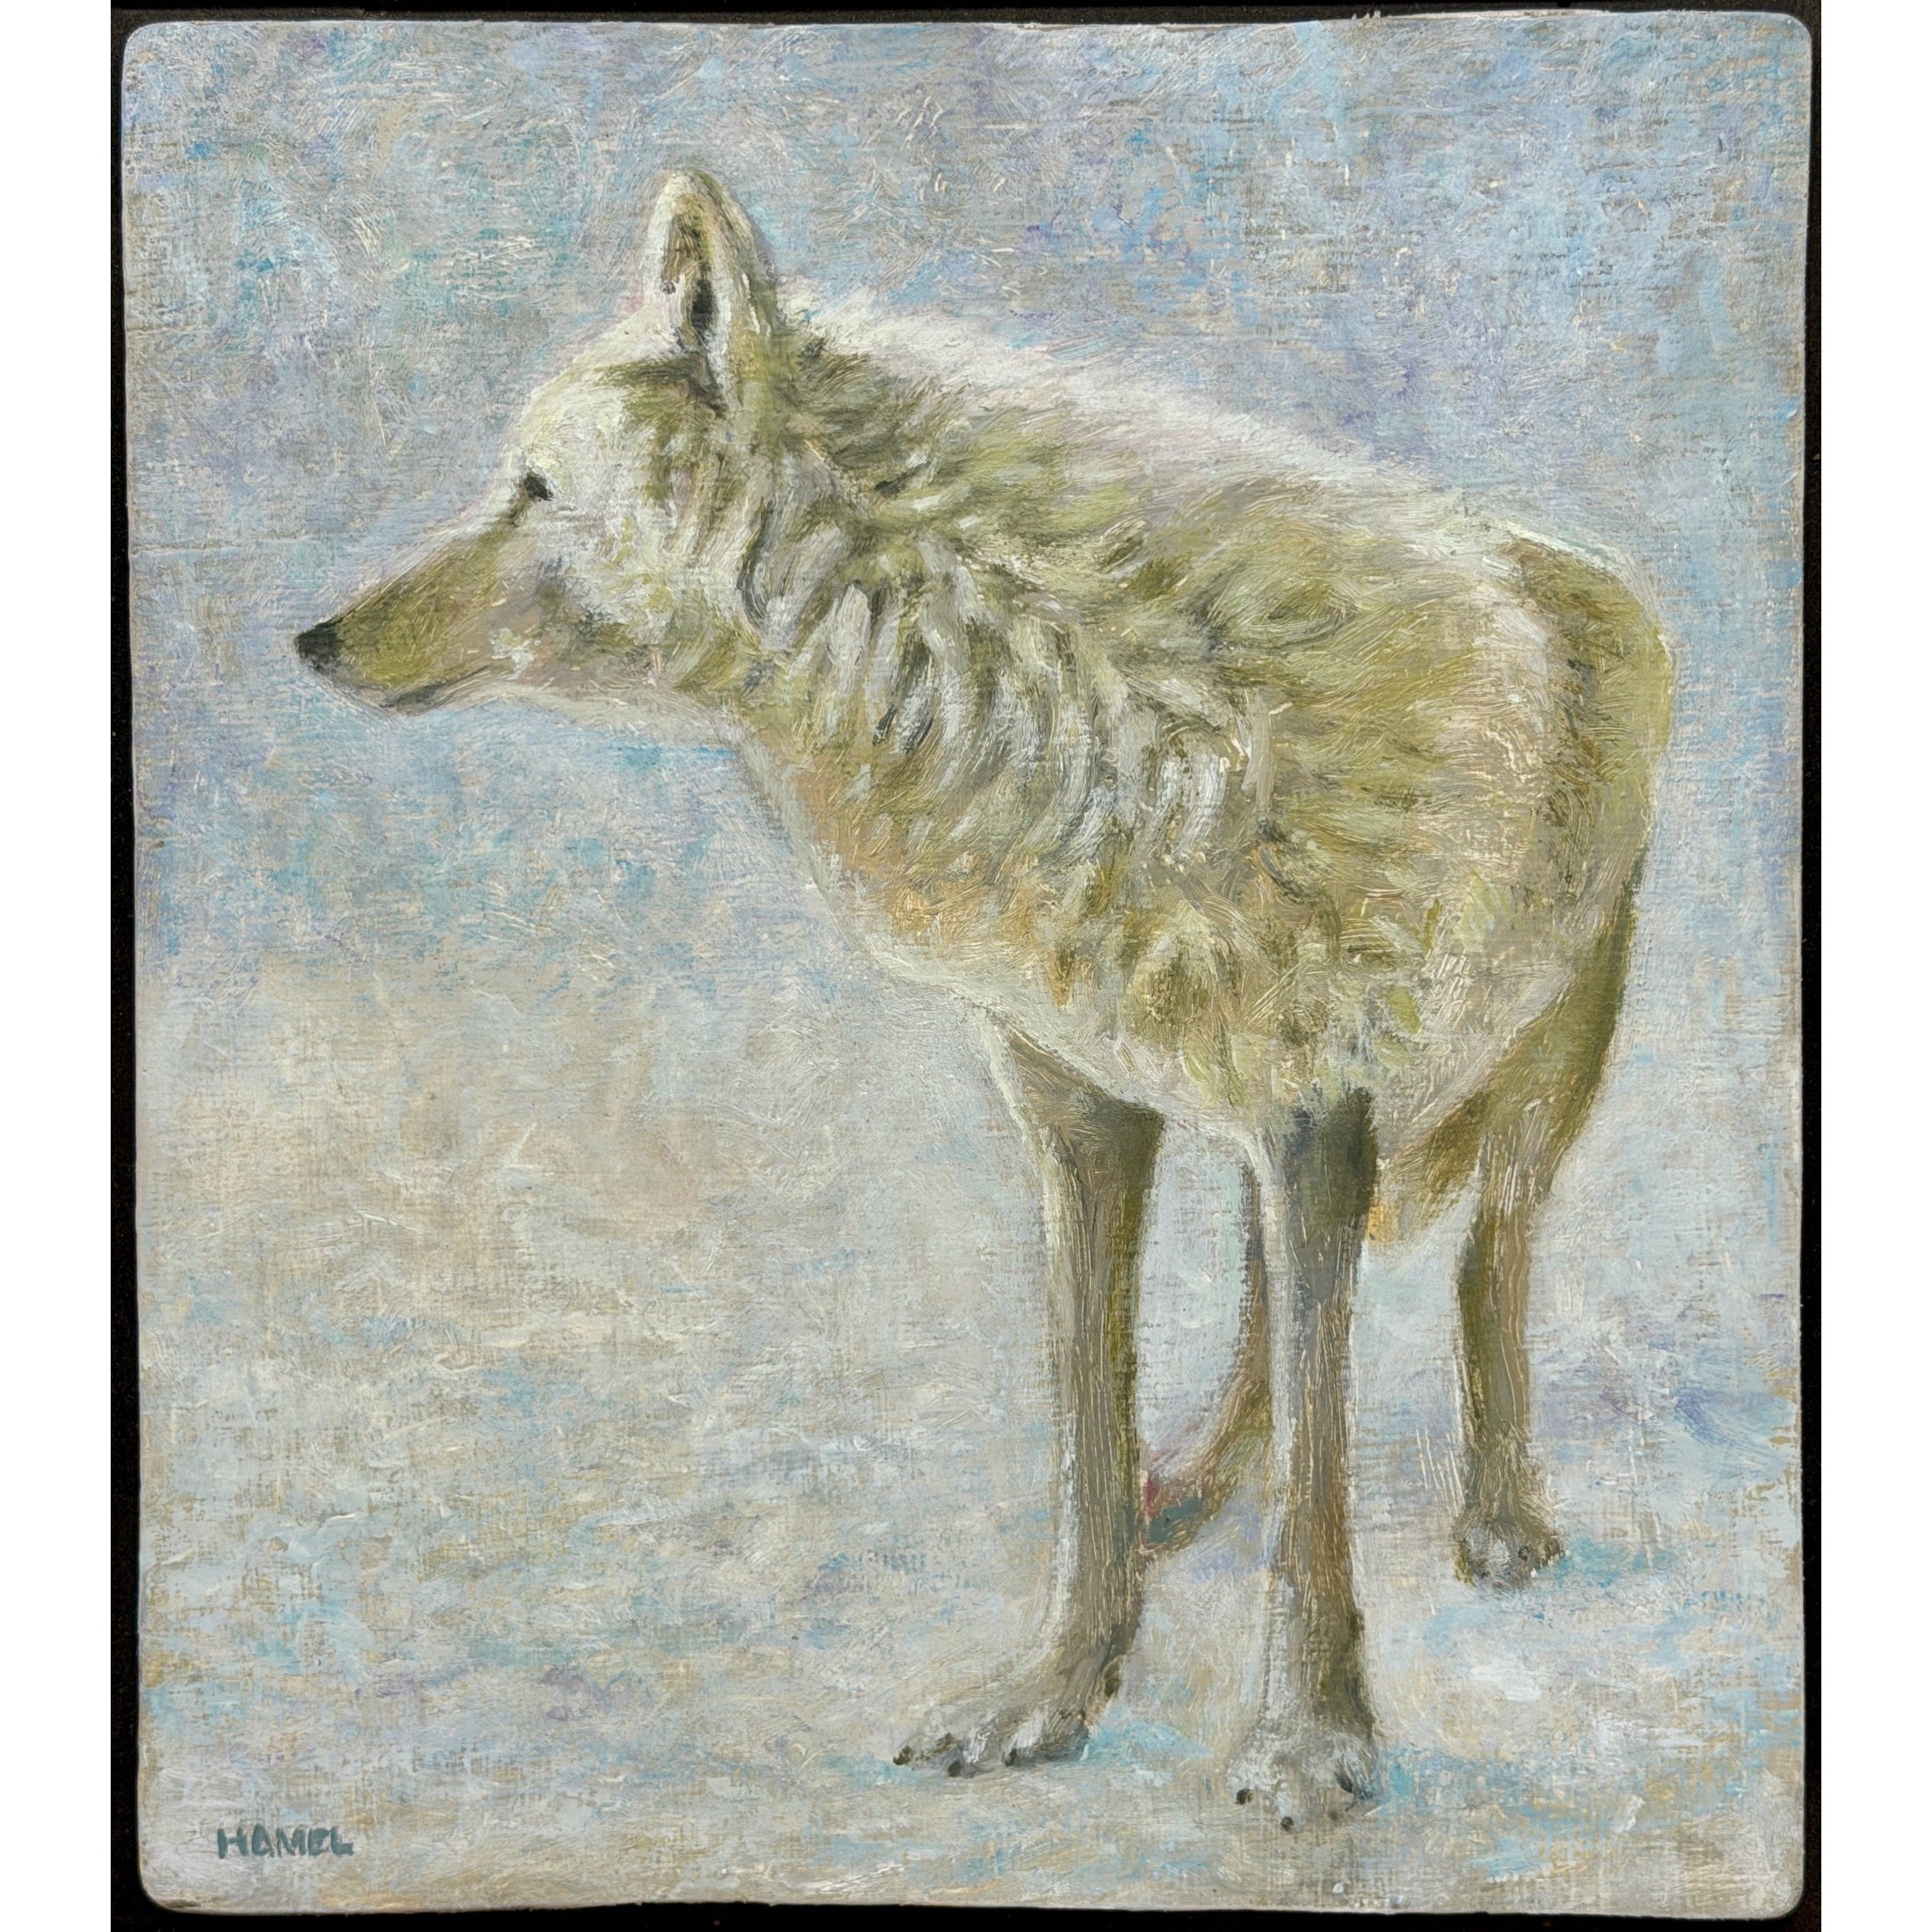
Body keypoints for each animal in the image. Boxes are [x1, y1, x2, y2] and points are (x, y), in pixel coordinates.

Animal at [295, 169, 1670, 1826]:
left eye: (536, 490)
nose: (311, 639)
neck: (1048, 681)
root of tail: (1588, 568)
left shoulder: (1312, 1109)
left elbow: (1320, 1489)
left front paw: (1308, 1742)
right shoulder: (1088, 1108)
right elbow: (1092, 1434)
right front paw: (1055, 1691)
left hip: (1542, 1070)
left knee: (1493, 1263)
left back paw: (1500, 1516)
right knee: (1274, 1313)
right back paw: (1192, 1483)